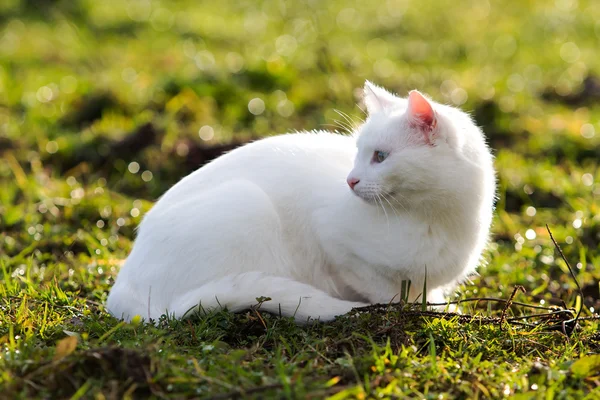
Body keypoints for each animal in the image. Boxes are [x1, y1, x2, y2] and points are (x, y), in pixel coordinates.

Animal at [108, 82, 496, 324]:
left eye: (380, 157)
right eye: (358, 154)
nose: (350, 180)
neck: (436, 217)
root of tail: (121, 291)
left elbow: (426, 293)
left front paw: (437, 306)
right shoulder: (337, 243)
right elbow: (387, 291)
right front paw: (409, 310)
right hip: (247, 207)